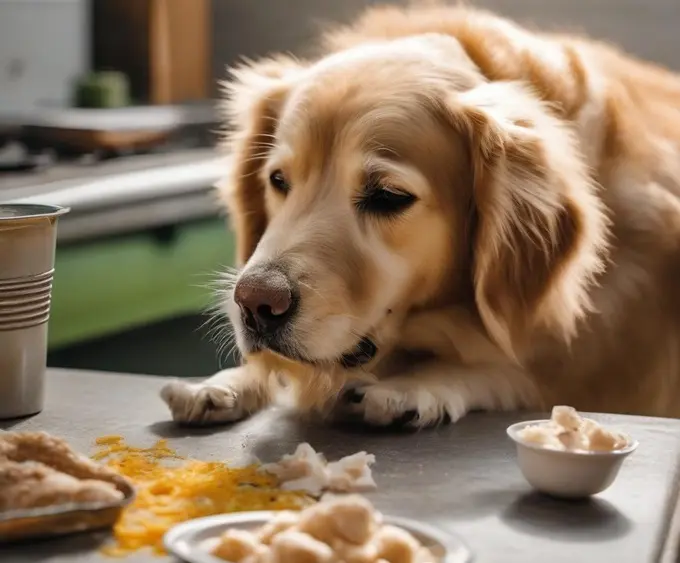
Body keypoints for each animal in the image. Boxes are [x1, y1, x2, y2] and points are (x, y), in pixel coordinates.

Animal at [161, 3, 680, 428]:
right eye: (278, 181)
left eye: (388, 196)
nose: (254, 303)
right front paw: (224, 383)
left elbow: (513, 372)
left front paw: (414, 386)